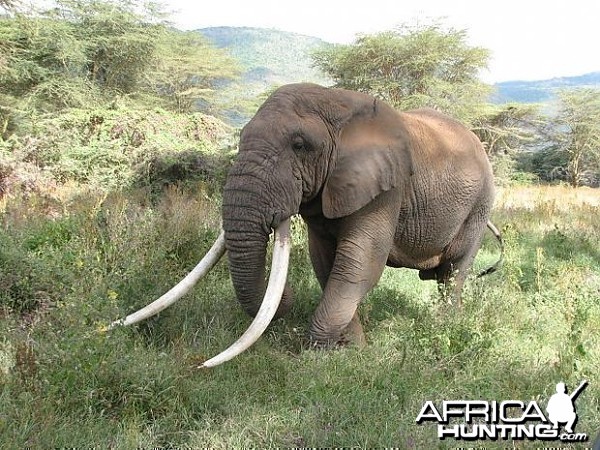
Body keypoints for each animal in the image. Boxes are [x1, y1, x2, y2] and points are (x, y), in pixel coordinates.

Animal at [106, 82, 502, 368]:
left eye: (299, 145)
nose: (289, 300)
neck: (335, 103)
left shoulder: (388, 187)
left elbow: (358, 263)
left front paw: (319, 354)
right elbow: (326, 261)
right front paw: (348, 350)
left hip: (480, 203)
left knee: (453, 270)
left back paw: (443, 326)